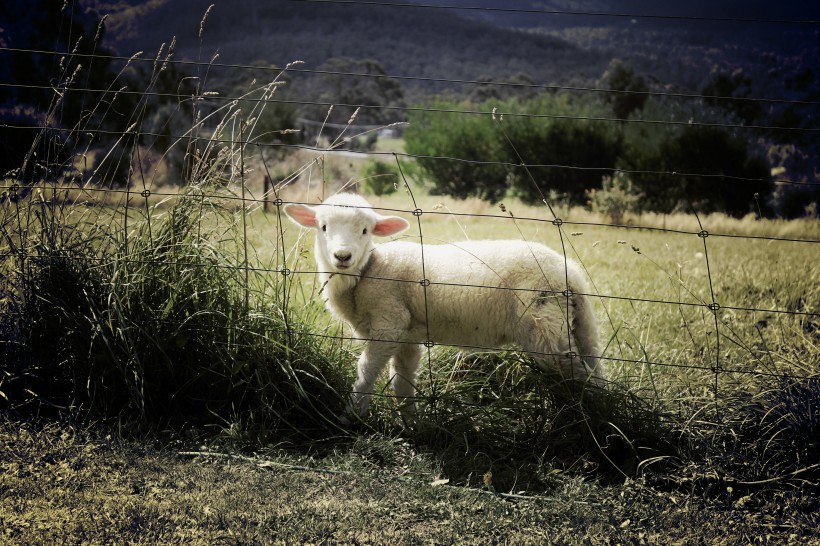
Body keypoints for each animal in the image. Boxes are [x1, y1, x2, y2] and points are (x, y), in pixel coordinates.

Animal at [286, 191, 604, 420]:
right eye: (323, 227)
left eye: (366, 231)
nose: (342, 256)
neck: (366, 272)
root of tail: (569, 273)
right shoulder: (407, 335)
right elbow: (402, 380)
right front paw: (411, 423)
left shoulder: (389, 323)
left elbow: (366, 371)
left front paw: (350, 417)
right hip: (573, 324)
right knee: (593, 367)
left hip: (543, 327)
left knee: (578, 373)